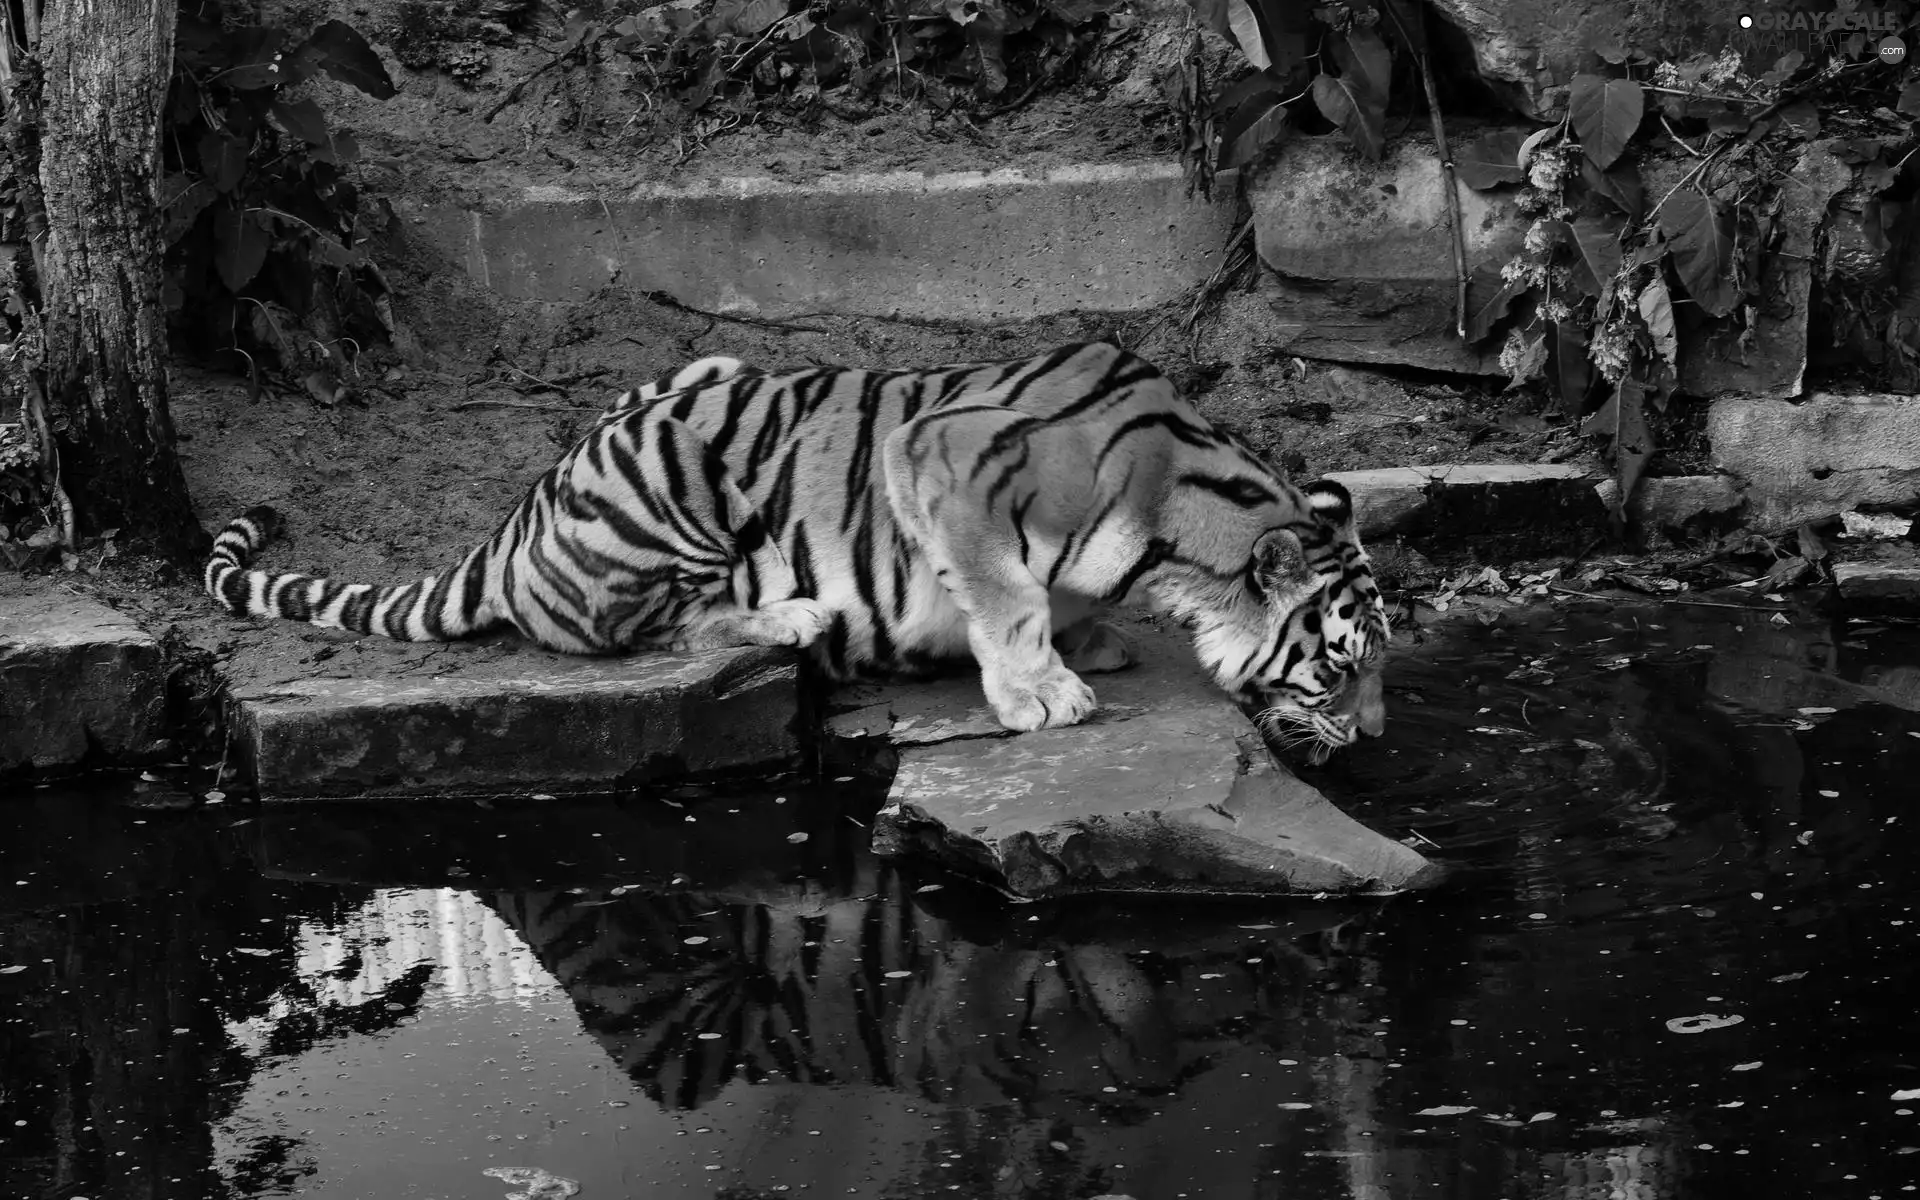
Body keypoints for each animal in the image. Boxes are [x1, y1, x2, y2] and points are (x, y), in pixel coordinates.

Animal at [202, 339, 1390, 748]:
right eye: (1337, 669)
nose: (1373, 738)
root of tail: (517, 516)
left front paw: (1084, 641)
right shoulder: (946, 457)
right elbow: (1005, 597)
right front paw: (1042, 691)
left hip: (701, 369)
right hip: (670, 469)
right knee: (659, 632)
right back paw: (795, 614)